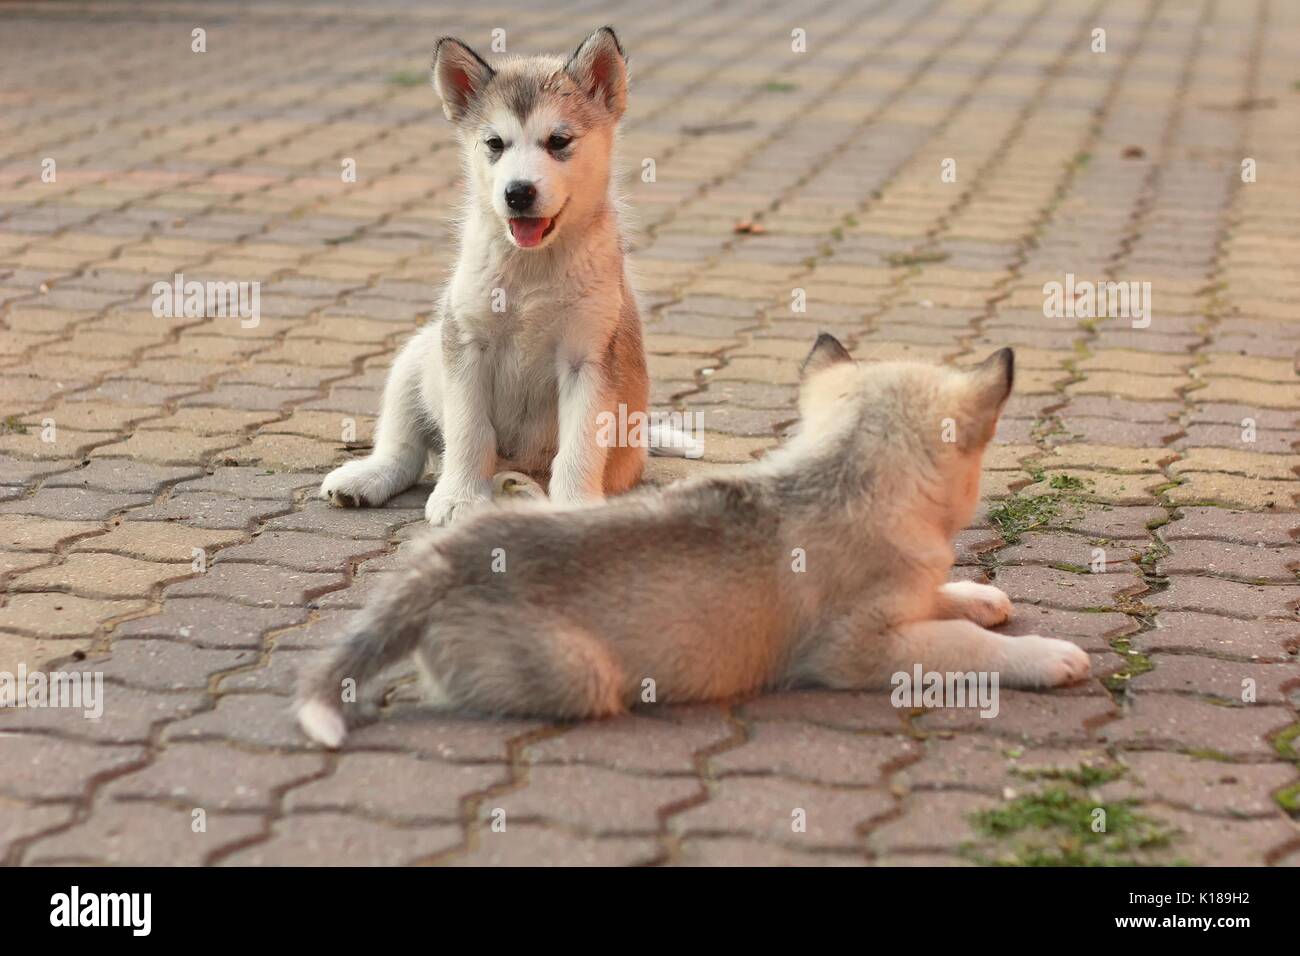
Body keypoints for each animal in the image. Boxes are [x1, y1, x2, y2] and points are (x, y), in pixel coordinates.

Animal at [299, 335, 1092, 749]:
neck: (842, 475)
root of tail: (440, 564)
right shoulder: (856, 650)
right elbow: (963, 646)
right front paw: (1042, 655)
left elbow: (944, 601)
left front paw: (977, 594)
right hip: (581, 675)